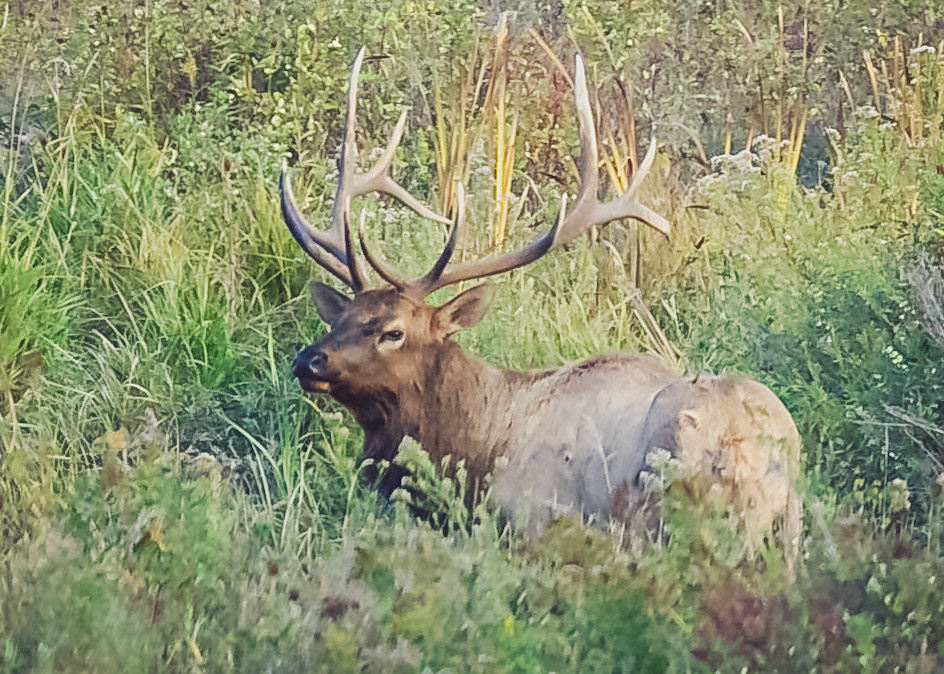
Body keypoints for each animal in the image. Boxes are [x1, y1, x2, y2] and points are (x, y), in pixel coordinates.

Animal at [281, 48, 803, 567]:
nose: (308, 360)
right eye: (341, 318)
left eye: (393, 331)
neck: (476, 452)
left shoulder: (535, 527)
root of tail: (752, 454)